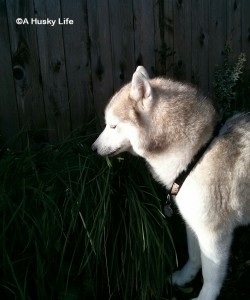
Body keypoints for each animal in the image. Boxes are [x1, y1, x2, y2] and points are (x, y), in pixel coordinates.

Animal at [92, 66, 250, 300]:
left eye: (112, 126)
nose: (93, 148)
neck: (198, 152)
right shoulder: (193, 223)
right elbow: (194, 257)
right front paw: (185, 277)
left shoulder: (214, 233)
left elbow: (211, 276)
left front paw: (204, 297)